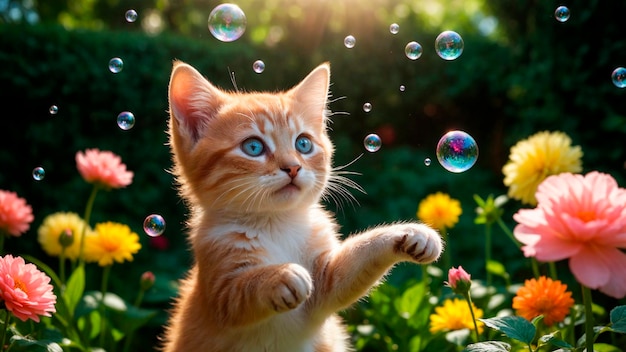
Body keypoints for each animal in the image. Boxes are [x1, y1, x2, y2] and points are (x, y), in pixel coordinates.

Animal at [162, 62, 444, 350]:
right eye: (253, 147)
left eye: (303, 143)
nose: (293, 167)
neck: (276, 224)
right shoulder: (219, 290)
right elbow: (241, 290)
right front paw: (279, 276)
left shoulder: (326, 284)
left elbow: (354, 262)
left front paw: (410, 233)